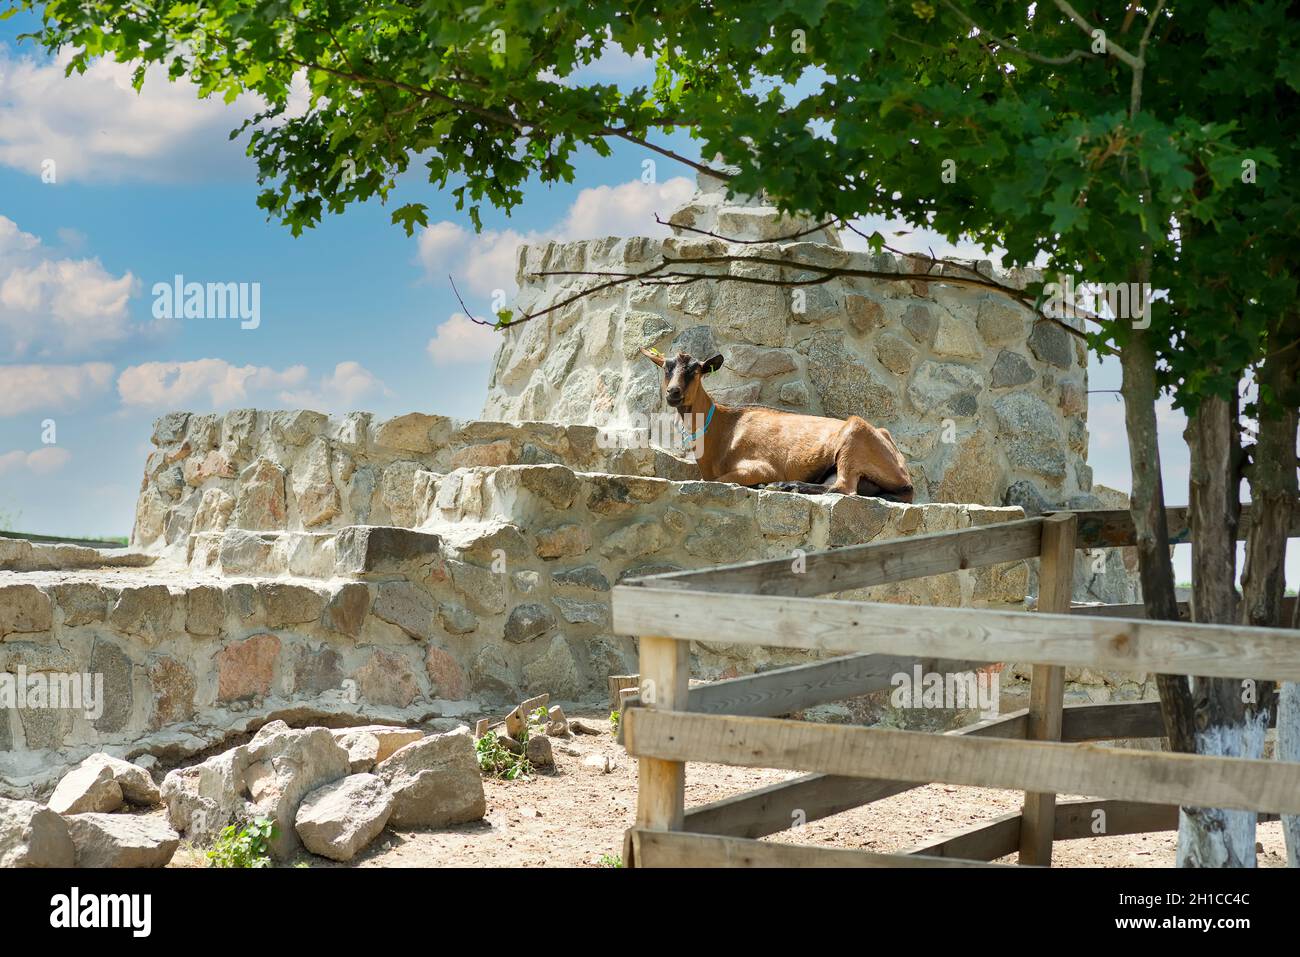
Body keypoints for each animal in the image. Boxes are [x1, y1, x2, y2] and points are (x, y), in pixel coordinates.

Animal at [642, 348, 915, 501]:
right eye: (666, 368)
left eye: (695, 370)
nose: (673, 393)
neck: (722, 427)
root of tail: (904, 473)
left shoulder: (759, 466)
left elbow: (716, 481)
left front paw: (768, 483)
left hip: (854, 436)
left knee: (845, 488)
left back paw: (784, 486)